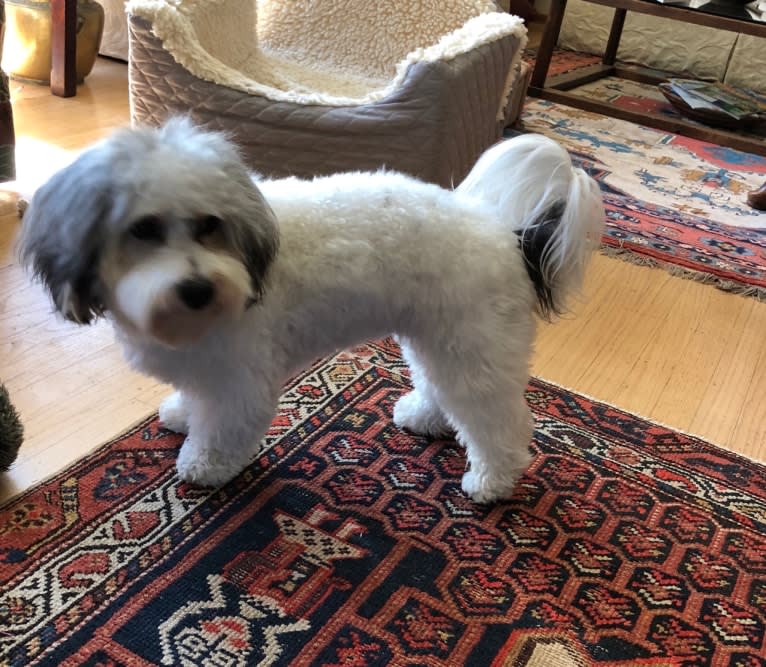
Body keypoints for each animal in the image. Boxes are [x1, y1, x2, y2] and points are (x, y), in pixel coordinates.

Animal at [16, 122, 608, 504]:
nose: (197, 289)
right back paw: (426, 417)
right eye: (142, 229)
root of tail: (502, 232)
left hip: (473, 342)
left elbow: (224, 428)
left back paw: (492, 481)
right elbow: (193, 396)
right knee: (444, 387)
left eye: (210, 224)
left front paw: (203, 465)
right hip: (441, 335)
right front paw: (183, 413)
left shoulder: (240, 377)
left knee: (499, 420)